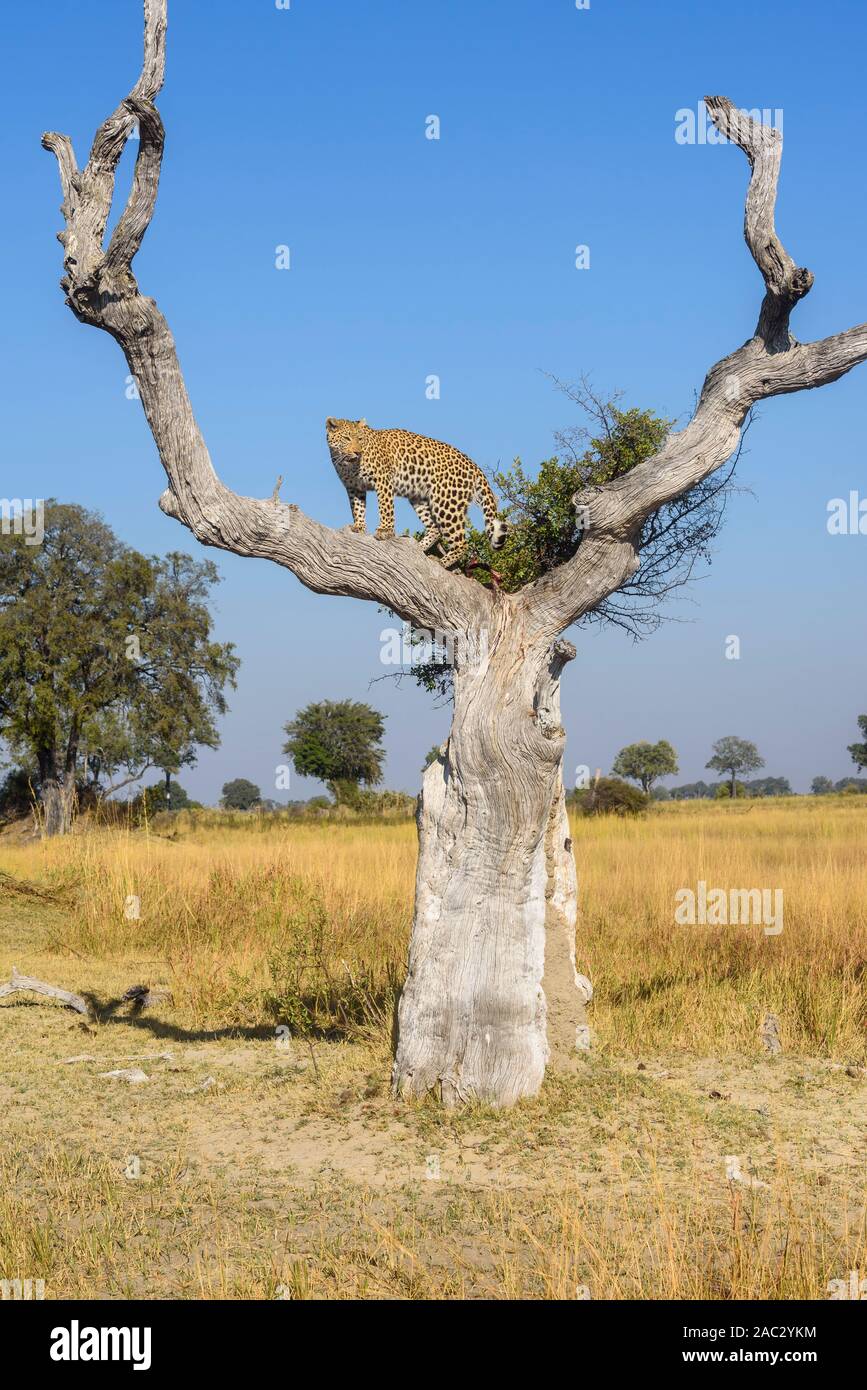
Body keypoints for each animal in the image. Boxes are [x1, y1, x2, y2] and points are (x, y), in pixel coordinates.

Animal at [325, 417, 508, 570]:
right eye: (347, 438)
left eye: (360, 439)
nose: (358, 452)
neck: (347, 464)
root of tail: (474, 466)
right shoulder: (354, 488)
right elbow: (358, 508)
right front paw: (359, 526)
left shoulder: (383, 480)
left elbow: (385, 507)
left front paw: (385, 531)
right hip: (419, 497)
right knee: (434, 528)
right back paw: (417, 548)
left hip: (446, 502)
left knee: (461, 542)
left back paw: (442, 562)